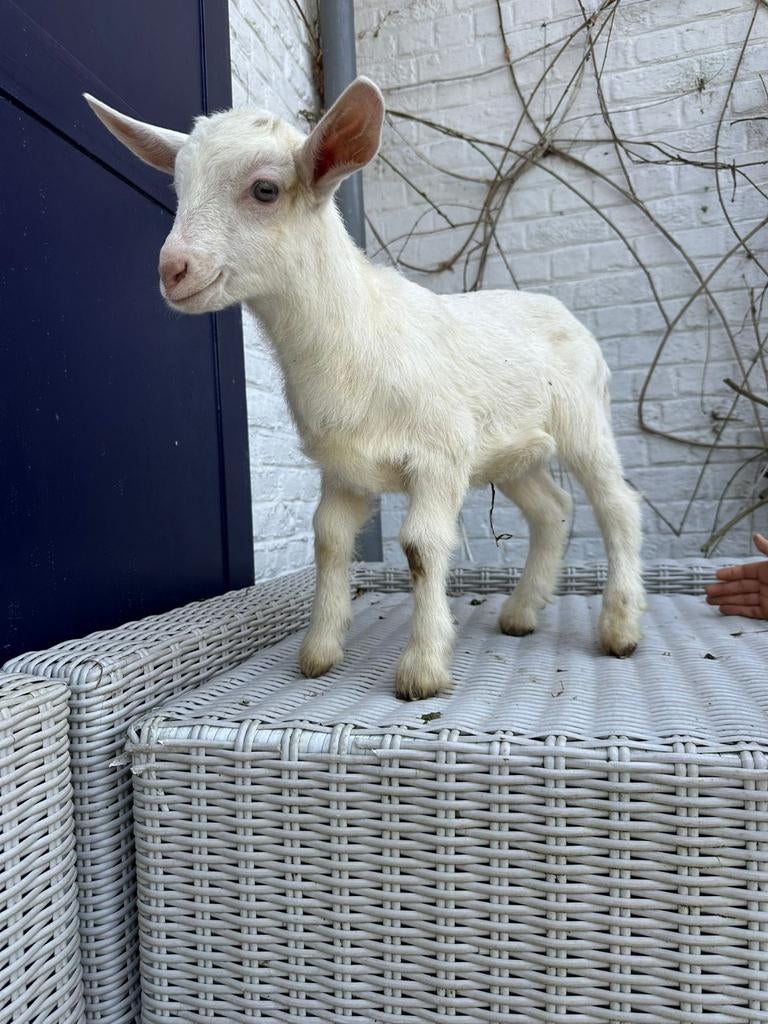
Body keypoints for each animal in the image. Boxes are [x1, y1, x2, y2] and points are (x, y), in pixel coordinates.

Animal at [85, 77, 645, 700]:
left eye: (265, 189)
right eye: (179, 187)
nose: (173, 270)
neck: (360, 339)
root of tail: (560, 309)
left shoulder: (441, 456)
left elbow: (421, 547)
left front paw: (422, 669)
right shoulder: (342, 470)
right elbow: (328, 541)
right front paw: (319, 651)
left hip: (585, 420)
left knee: (617, 506)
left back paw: (620, 628)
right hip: (514, 452)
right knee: (553, 510)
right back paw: (522, 613)